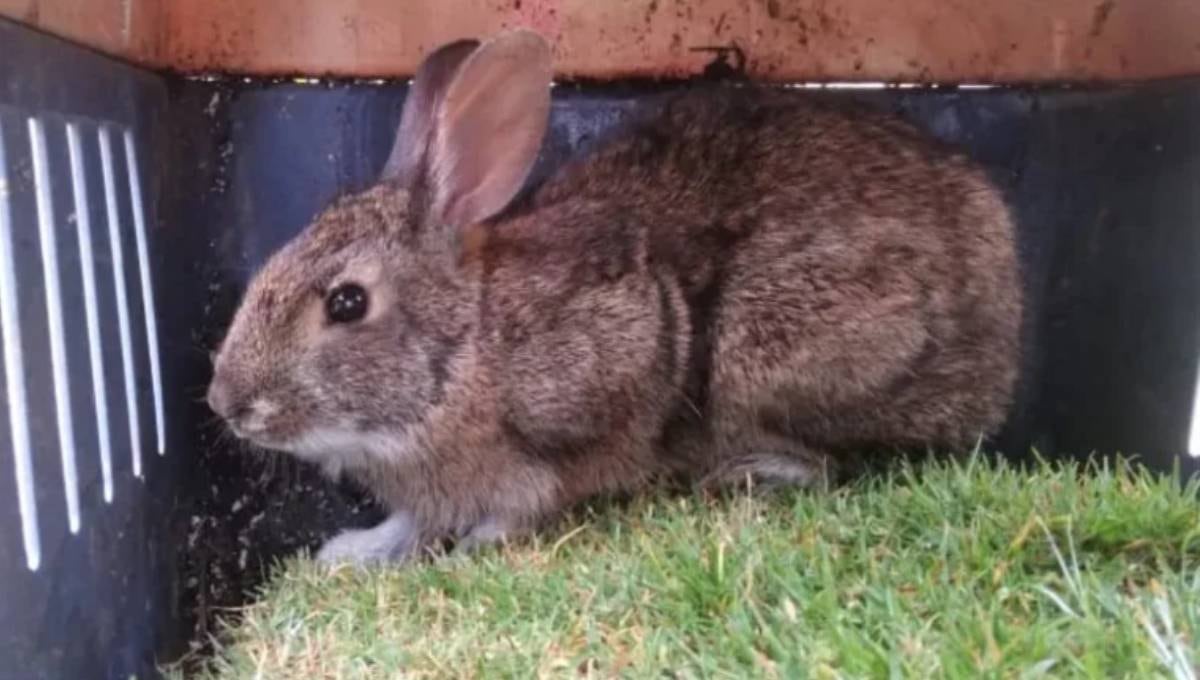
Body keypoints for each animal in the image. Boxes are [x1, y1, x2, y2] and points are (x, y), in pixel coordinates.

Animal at [206, 29, 1022, 566]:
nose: (225, 403)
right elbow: (412, 521)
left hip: (783, 353)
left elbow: (537, 494)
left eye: (346, 303)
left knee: (850, 462)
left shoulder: (600, 384)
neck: (467, 348)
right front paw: (353, 552)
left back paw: (757, 471)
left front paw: (478, 545)